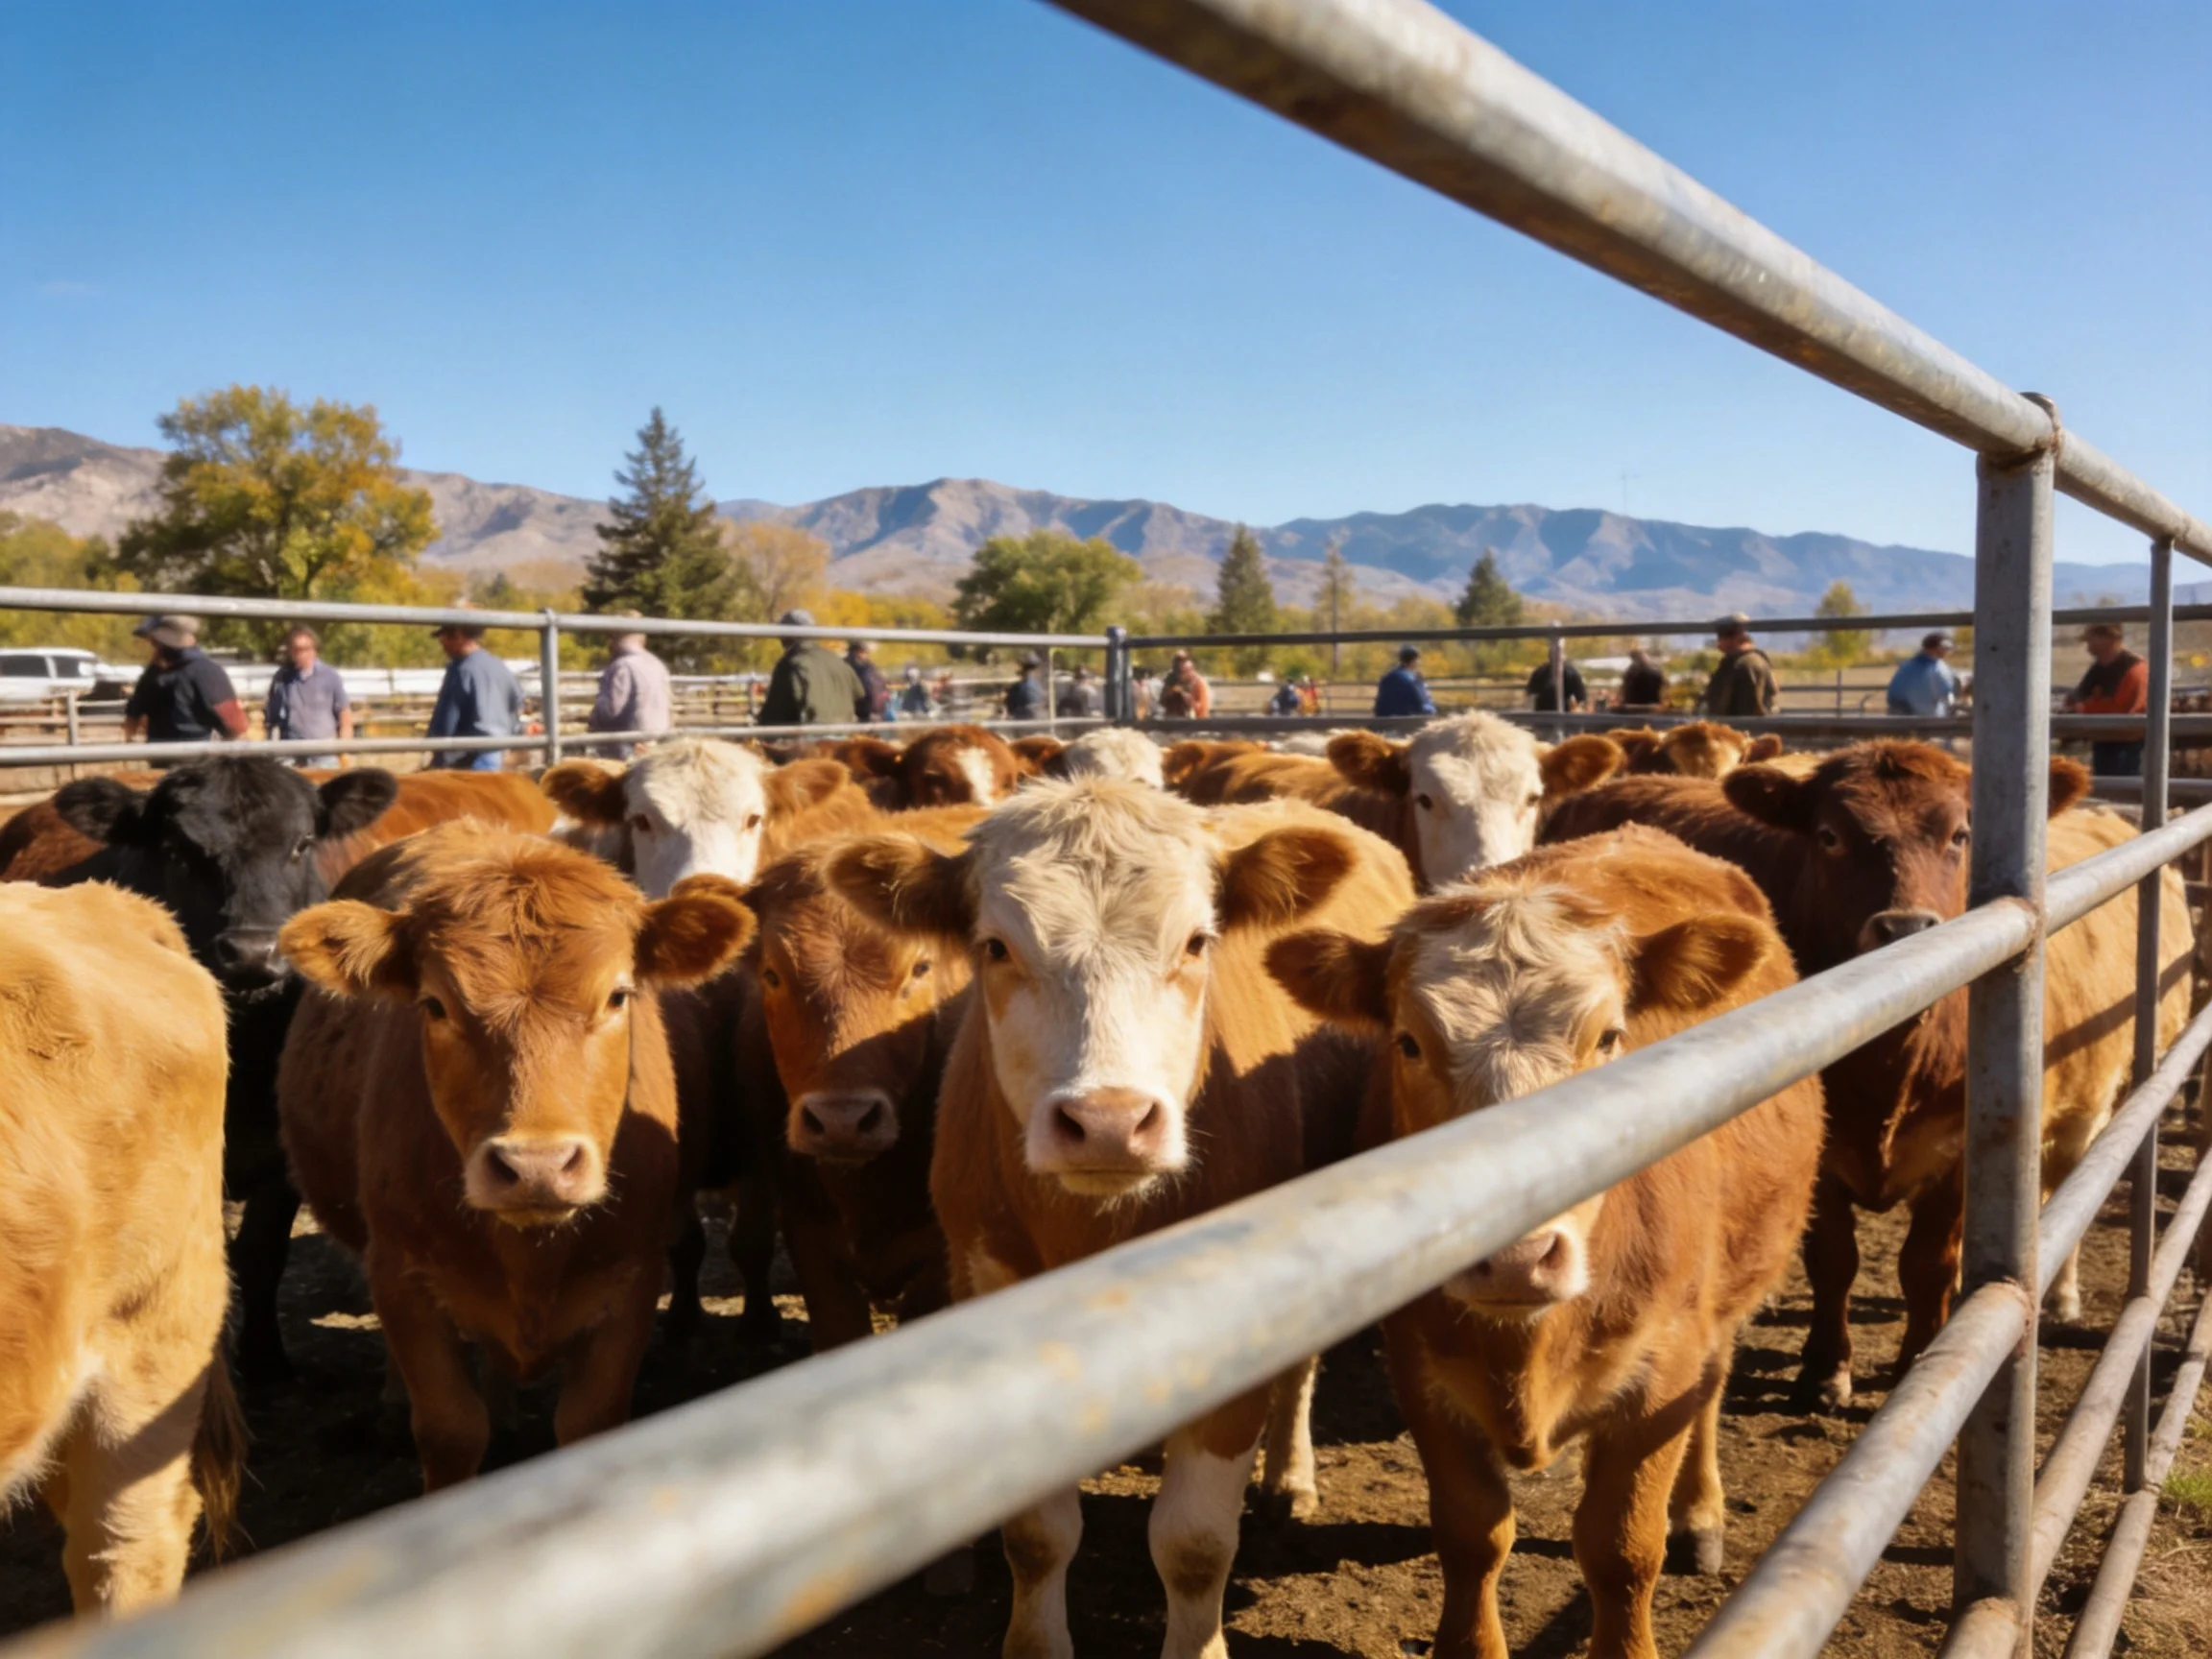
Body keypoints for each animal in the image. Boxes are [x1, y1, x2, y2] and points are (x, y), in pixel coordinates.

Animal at [35, 757, 399, 1382]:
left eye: (302, 843)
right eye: (176, 850)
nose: (253, 954)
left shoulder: (282, 1155)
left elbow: (261, 1252)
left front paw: (265, 1357)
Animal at [275, 822, 753, 1489]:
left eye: (618, 996)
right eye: (434, 1005)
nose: (537, 1166)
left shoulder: (634, 1278)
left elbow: (589, 1420)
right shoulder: (400, 1277)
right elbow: (449, 1429)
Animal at [828, 780, 1416, 1659]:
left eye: (1198, 941)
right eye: (995, 947)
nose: (1107, 1122)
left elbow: (1194, 1542)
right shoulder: (987, 1285)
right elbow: (1038, 1537)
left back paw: (1290, 1476)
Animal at [1266, 827, 1822, 1659]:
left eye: (1611, 1035)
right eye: (1408, 1042)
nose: (1514, 1257)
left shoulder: (1662, 1368)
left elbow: (1622, 1548)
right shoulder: (1421, 1369)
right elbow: (1472, 1536)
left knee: (1712, 1392)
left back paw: (1700, 1514)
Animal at [1544, 744, 2193, 1404]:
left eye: (1961, 833)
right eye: (1830, 835)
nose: (1904, 928)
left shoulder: (1962, 1150)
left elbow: (1927, 1264)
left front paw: (1914, 1361)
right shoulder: (1822, 1152)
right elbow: (1834, 1258)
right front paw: (1825, 1367)